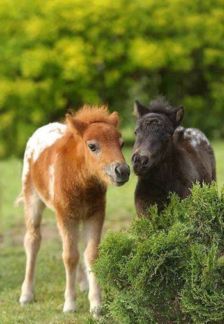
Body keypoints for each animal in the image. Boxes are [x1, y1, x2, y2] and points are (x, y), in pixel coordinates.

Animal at [18, 105, 130, 316]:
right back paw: (26, 294)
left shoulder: (95, 214)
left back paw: (83, 284)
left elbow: (91, 254)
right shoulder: (65, 215)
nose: (123, 171)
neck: (82, 182)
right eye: (92, 146)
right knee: (33, 240)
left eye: (121, 143)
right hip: (32, 199)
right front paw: (70, 305)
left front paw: (96, 306)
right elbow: (69, 256)